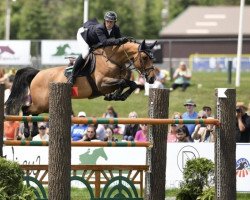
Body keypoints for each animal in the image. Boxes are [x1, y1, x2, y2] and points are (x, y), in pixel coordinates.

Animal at [4, 39, 156, 138]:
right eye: (144, 57)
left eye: (152, 58)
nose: (152, 79)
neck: (113, 60)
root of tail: (38, 73)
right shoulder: (102, 84)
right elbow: (125, 82)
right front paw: (118, 95)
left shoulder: (112, 83)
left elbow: (130, 83)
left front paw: (117, 96)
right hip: (42, 102)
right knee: (25, 109)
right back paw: (27, 132)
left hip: (44, 105)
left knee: (32, 112)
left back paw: (34, 131)